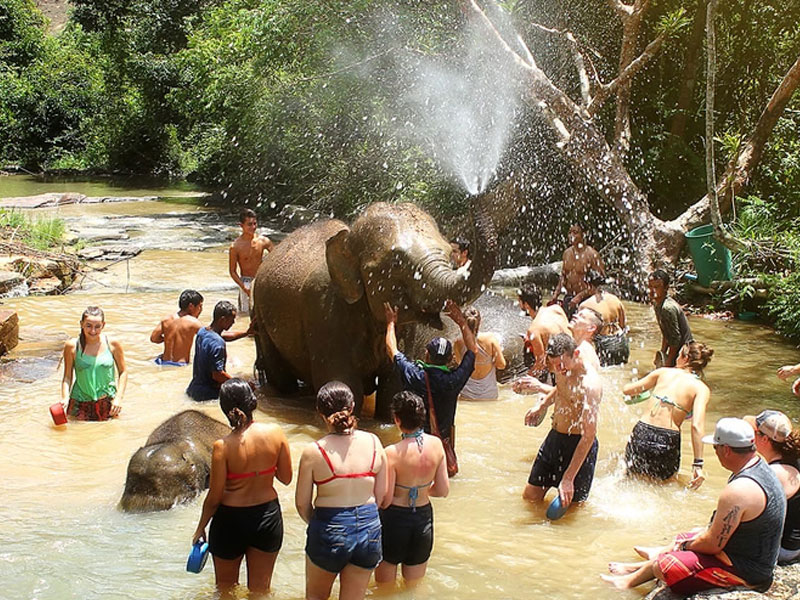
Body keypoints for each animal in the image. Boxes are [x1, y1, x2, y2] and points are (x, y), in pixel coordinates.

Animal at [253, 199, 496, 414]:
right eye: (396, 262)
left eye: (449, 253)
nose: (475, 196)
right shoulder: (323, 311)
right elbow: (344, 383)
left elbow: (393, 387)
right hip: (261, 316)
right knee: (281, 378)